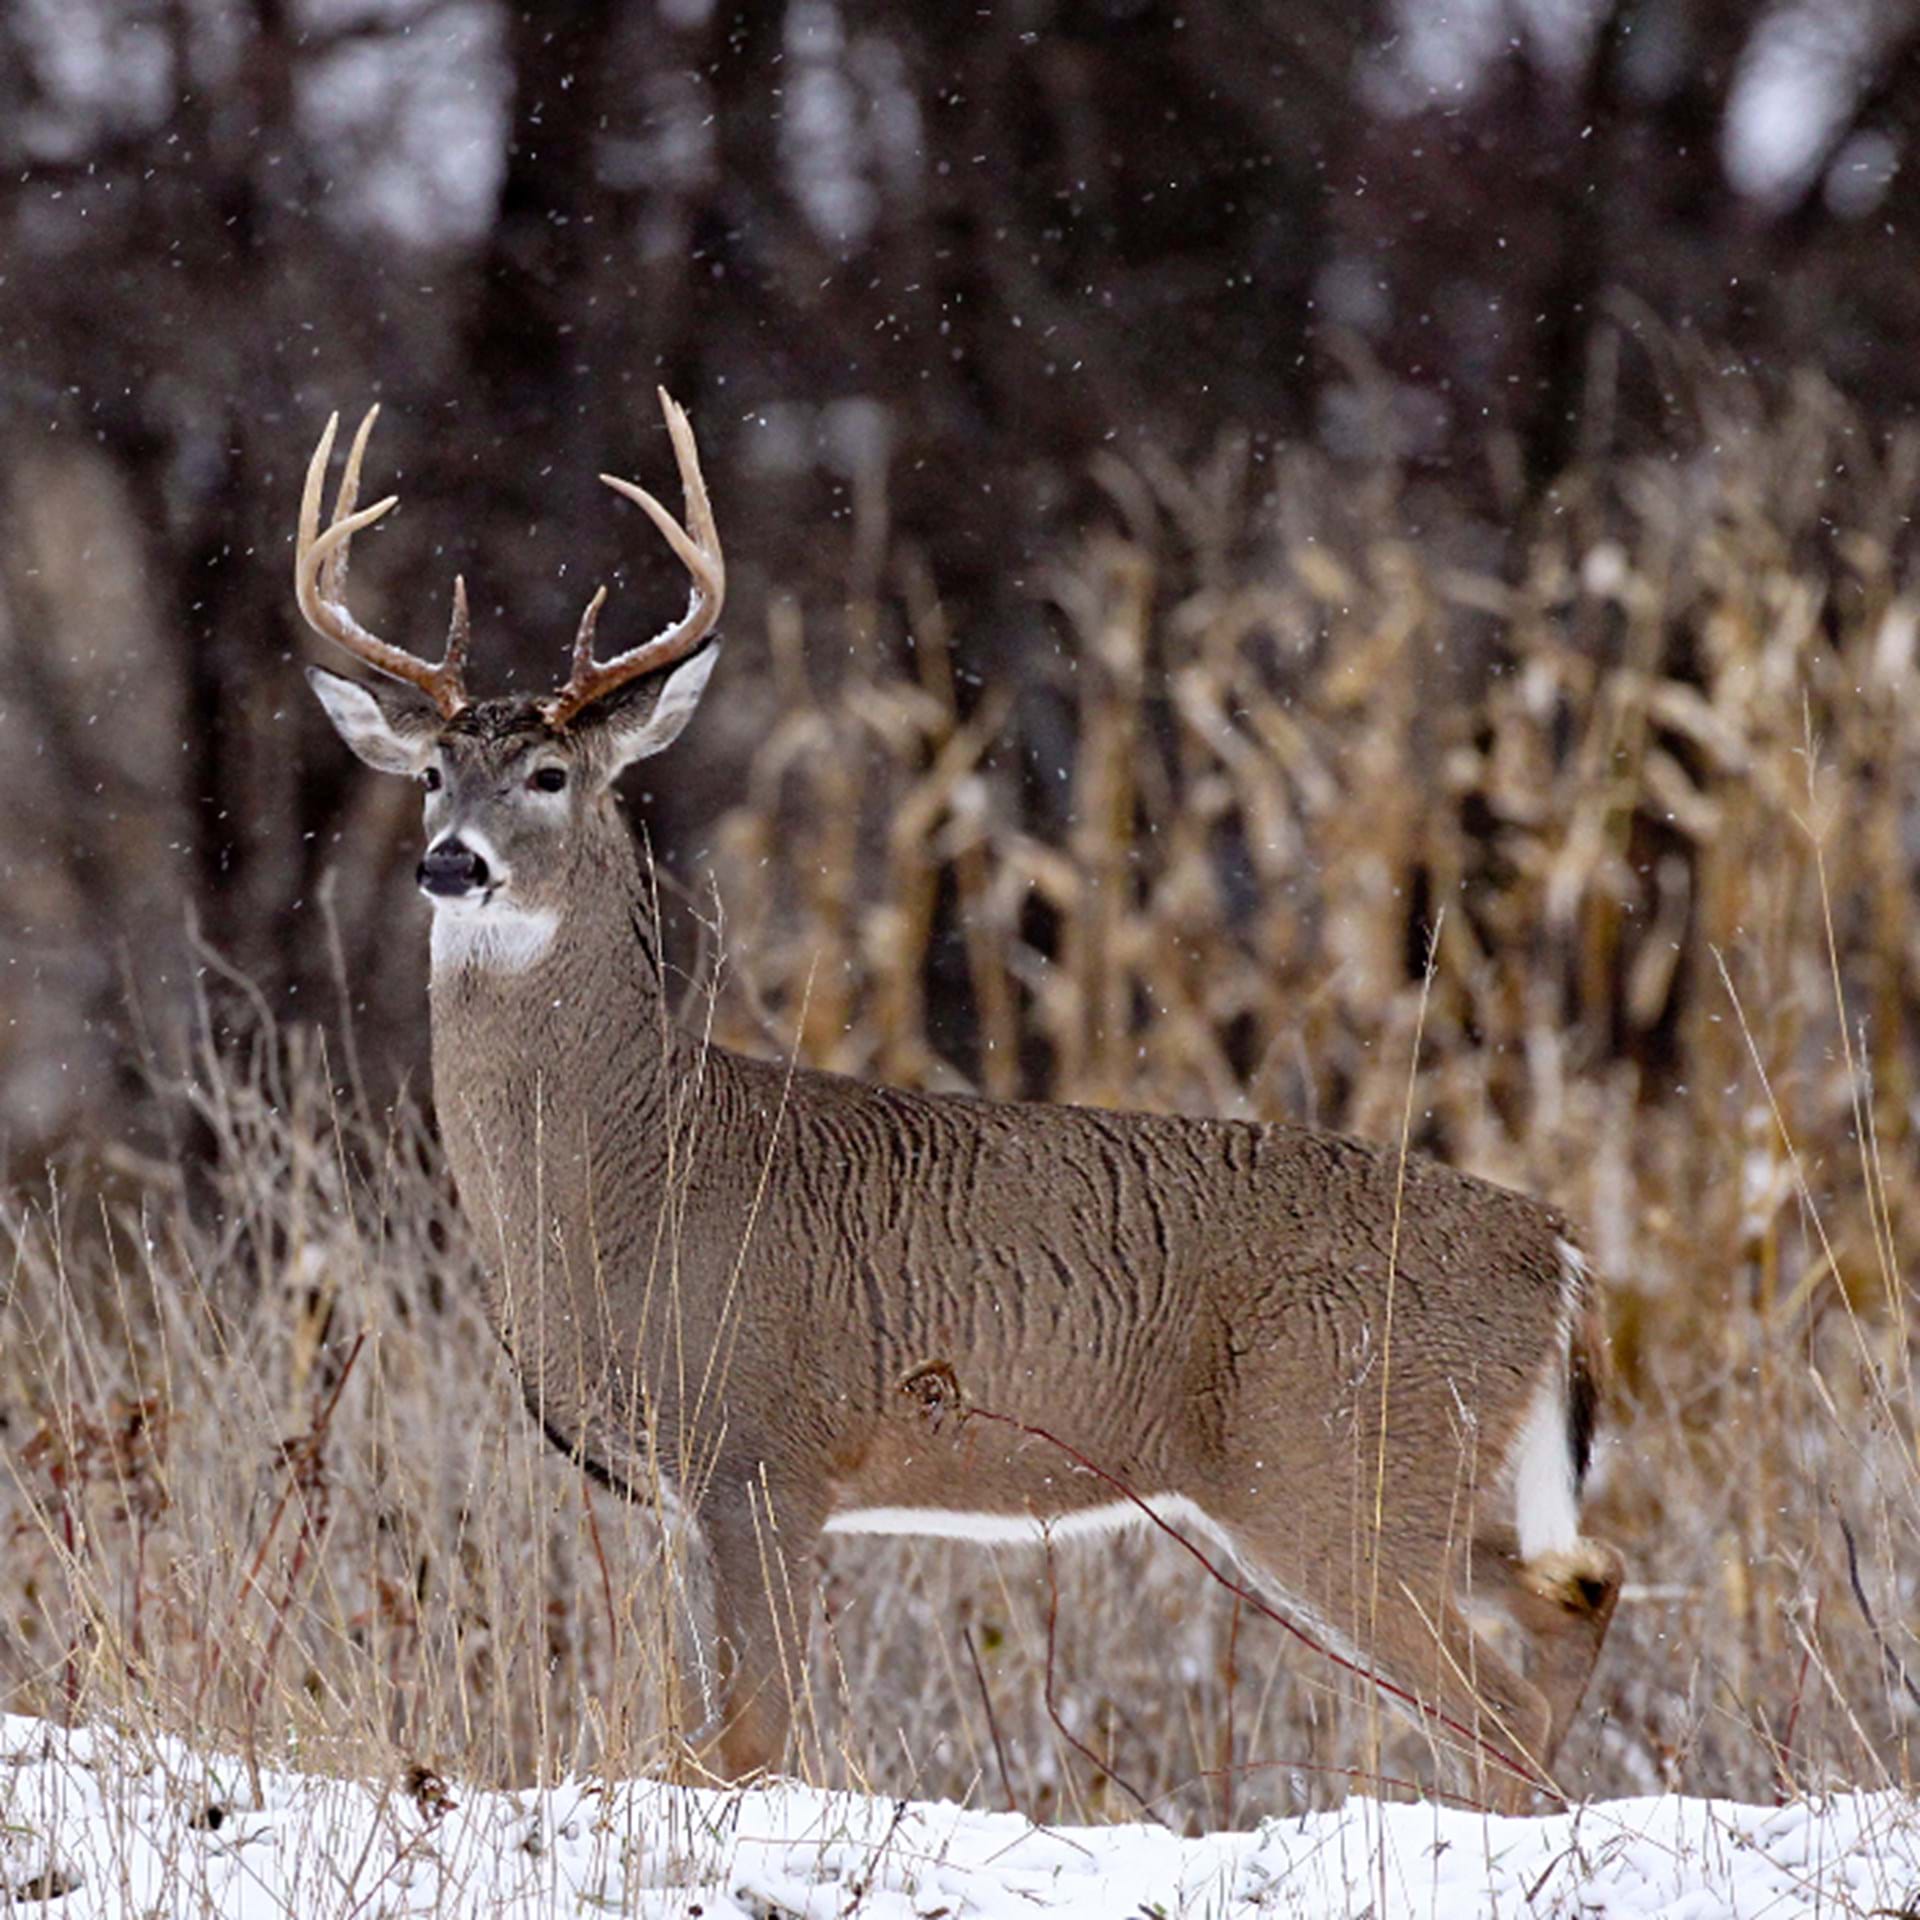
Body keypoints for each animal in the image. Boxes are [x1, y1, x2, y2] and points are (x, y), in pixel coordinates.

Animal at [293, 390, 1624, 1813]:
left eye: (550, 777)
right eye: (430, 774)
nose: (450, 864)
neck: (638, 1167)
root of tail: (1556, 1249)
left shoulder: (764, 1450)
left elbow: (748, 1740)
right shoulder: (701, 1490)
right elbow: (710, 1735)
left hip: (1336, 1461)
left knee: (1492, 1705)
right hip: (1397, 1486)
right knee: (1580, 1591)